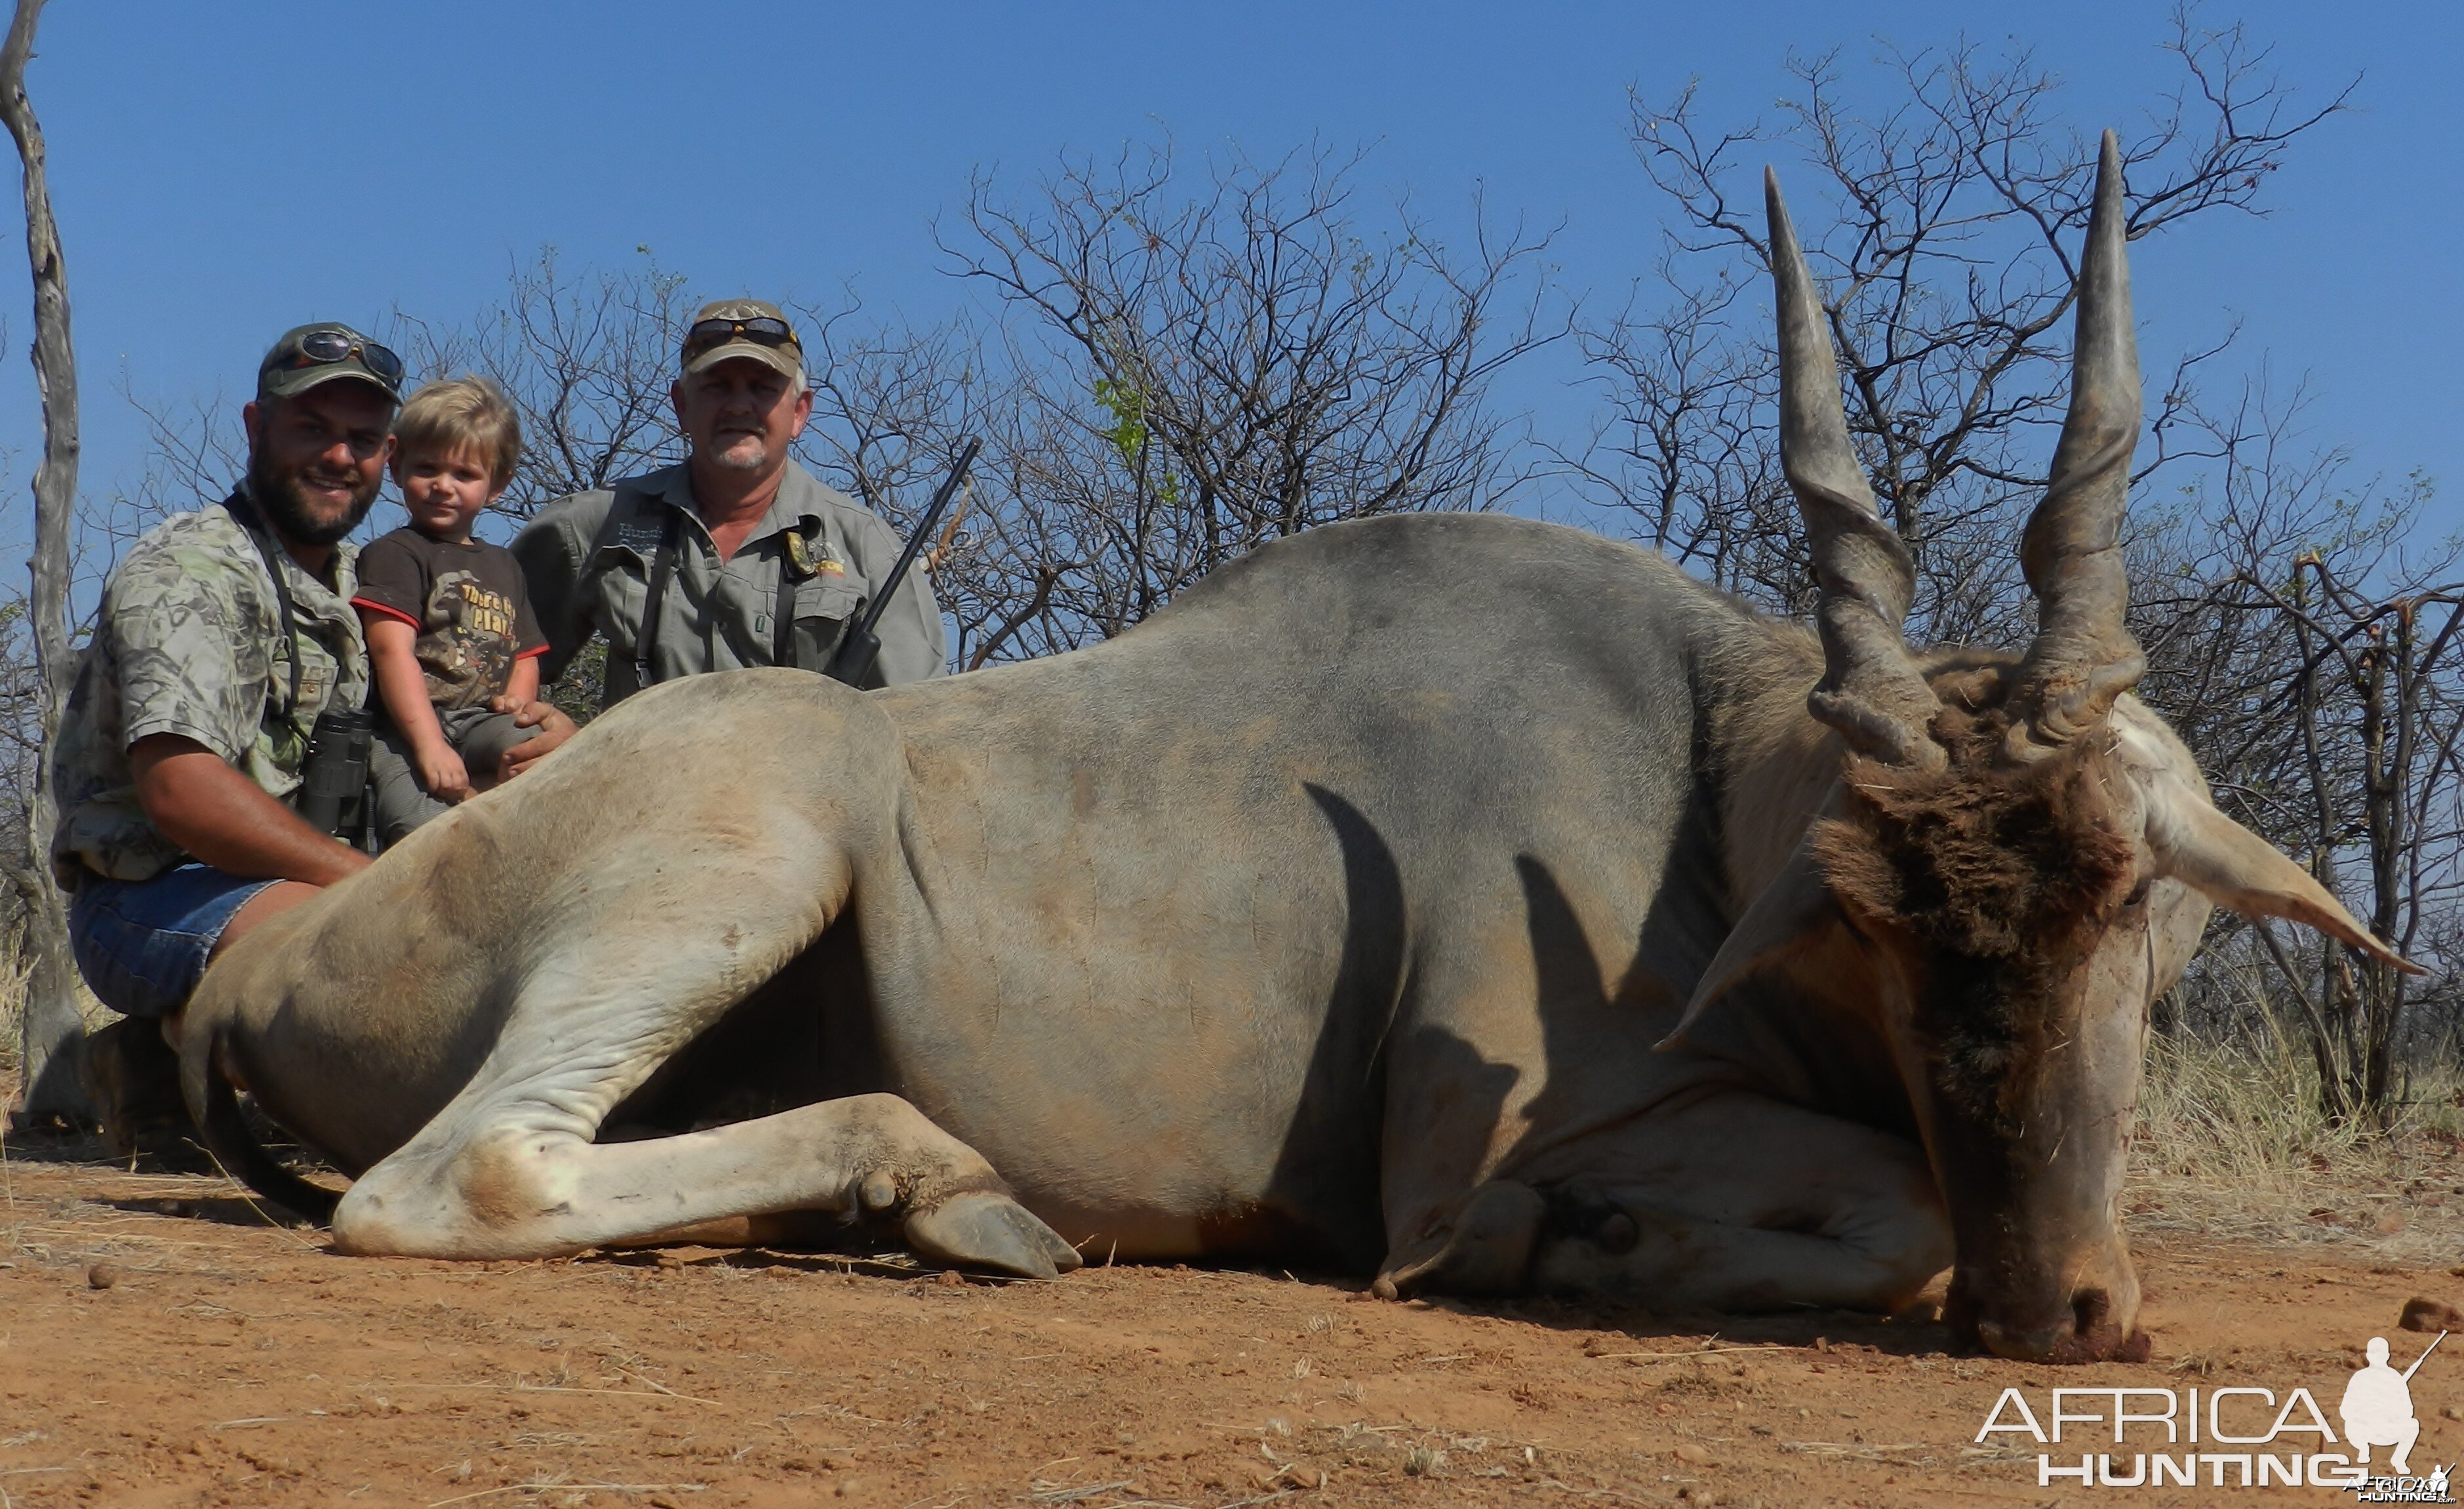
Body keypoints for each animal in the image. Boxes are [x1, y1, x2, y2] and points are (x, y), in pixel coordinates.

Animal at [178, 144, 2404, 1371]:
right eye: (1862, 906)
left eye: (2128, 890)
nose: (2060, 1313)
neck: (1701, 778)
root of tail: (259, 968)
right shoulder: (1490, 1134)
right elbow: (1879, 1208)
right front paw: (1560, 1247)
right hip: (753, 846)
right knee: (464, 1167)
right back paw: (943, 1184)